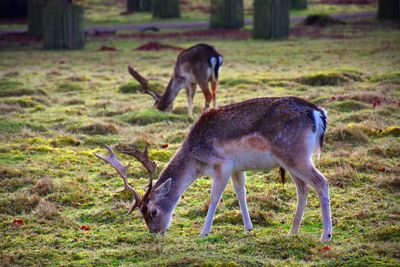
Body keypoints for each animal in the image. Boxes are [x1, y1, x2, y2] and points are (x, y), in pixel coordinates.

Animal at [95, 97, 332, 243]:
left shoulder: (222, 164)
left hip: (294, 155)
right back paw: (292, 232)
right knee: (303, 189)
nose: (156, 232)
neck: (197, 159)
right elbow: (241, 194)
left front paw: (203, 233)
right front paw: (249, 228)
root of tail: (318, 112)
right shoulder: (237, 168)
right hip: (291, 160)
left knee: (321, 182)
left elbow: (214, 197)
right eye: (141, 214)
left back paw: (325, 235)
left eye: (152, 211)